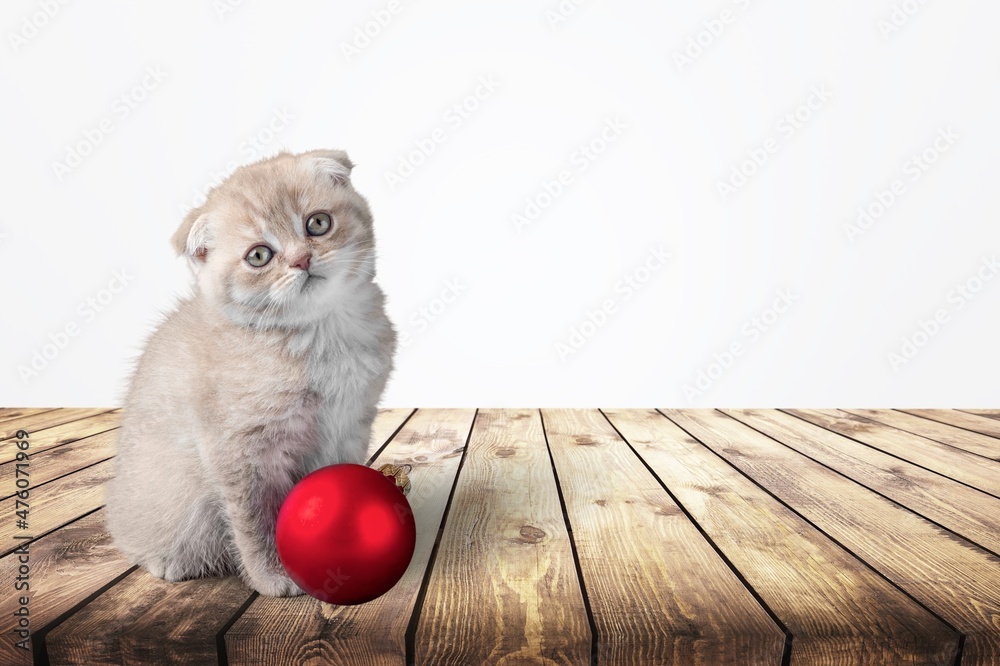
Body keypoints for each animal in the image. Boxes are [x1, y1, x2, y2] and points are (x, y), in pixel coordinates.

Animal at [104, 150, 394, 596]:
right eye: (259, 256)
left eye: (318, 223)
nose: (301, 259)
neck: (321, 334)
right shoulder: (241, 452)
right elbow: (256, 521)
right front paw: (273, 576)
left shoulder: (350, 425)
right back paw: (167, 561)